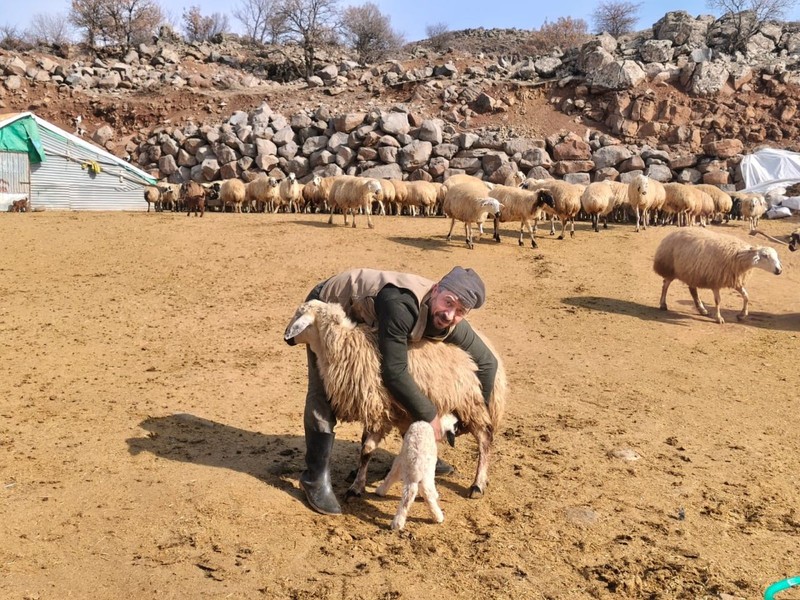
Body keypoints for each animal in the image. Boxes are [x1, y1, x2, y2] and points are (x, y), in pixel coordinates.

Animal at [648, 229, 780, 324]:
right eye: (765, 256)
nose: (779, 270)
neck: (738, 256)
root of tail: (671, 233)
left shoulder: (735, 280)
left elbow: (746, 296)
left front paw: (742, 315)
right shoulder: (716, 281)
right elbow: (718, 301)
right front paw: (719, 318)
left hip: (691, 271)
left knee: (692, 290)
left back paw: (702, 309)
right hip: (671, 268)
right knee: (665, 284)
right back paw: (663, 304)